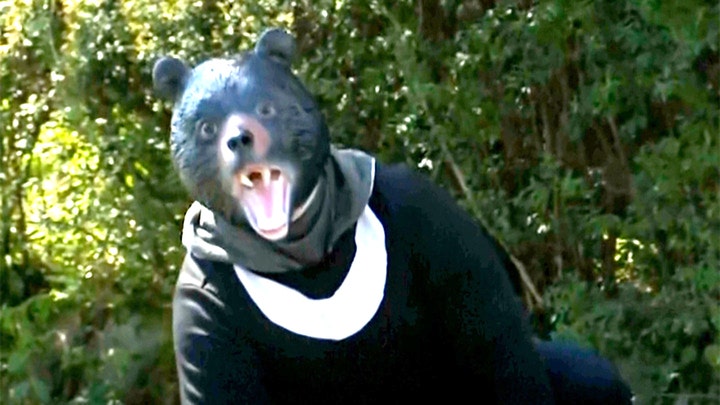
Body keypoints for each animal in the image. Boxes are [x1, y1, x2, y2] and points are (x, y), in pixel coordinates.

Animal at [153, 28, 631, 404]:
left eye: (266, 108)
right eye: (205, 128)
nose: (239, 139)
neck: (305, 250)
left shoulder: (428, 221)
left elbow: (497, 344)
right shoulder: (201, 306)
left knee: (588, 372)